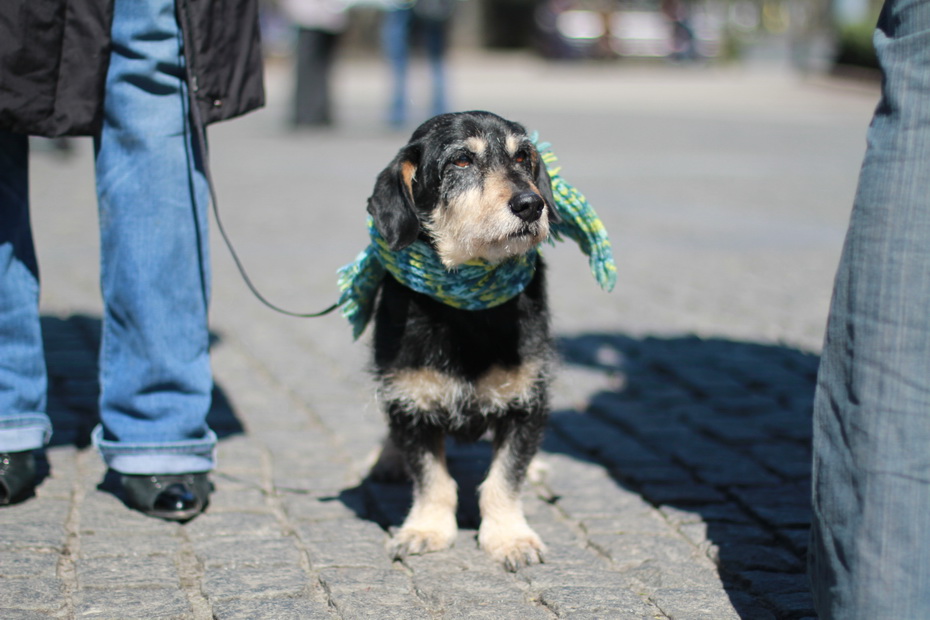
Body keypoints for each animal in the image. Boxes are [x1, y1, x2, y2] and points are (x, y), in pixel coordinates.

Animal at [364, 112, 560, 572]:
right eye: (461, 161)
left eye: (522, 156)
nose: (531, 204)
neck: (466, 309)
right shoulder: (410, 399)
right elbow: (432, 478)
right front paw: (426, 529)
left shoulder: (527, 400)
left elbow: (504, 477)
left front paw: (510, 537)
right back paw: (385, 459)